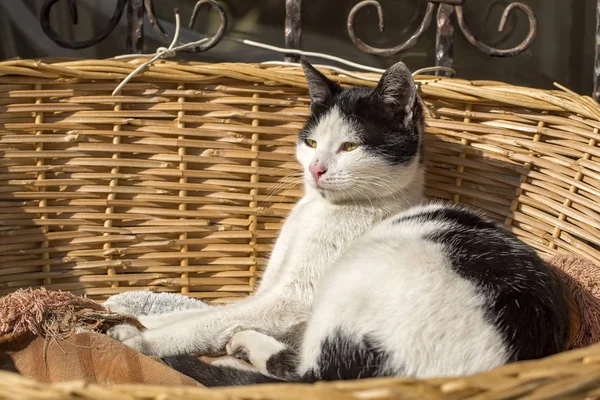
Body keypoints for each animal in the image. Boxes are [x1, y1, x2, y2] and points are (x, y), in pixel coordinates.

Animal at [108, 58, 572, 384]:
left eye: (350, 147)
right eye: (312, 142)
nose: (316, 169)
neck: (320, 211)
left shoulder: (292, 300)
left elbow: (209, 320)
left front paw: (144, 338)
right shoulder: (269, 288)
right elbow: (214, 309)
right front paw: (136, 314)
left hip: (357, 274)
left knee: (302, 373)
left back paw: (241, 348)